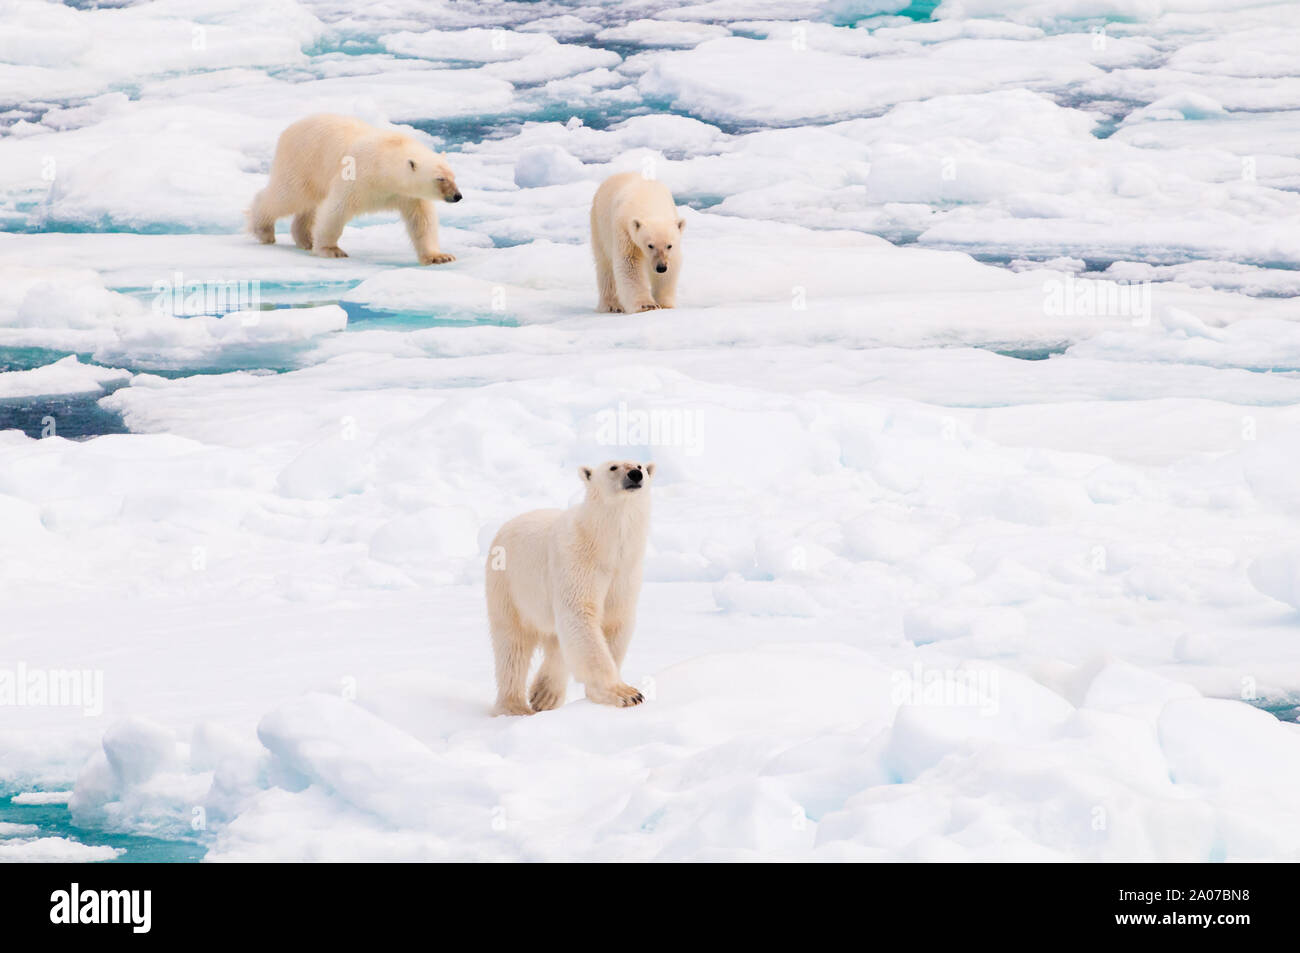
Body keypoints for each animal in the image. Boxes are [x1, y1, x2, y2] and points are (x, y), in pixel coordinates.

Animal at [247, 114, 462, 264]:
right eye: (440, 178)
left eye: (453, 176)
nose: (457, 196)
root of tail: (289, 129)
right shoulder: (358, 177)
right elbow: (336, 209)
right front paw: (331, 250)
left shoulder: (408, 195)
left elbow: (422, 221)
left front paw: (439, 257)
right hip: (302, 162)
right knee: (287, 196)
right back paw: (264, 230)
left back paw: (306, 239)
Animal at [485, 460, 655, 715]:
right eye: (613, 467)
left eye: (640, 465)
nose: (635, 474)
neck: (604, 544)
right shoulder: (577, 560)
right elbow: (580, 613)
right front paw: (626, 694)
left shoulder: (625, 572)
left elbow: (615, 620)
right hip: (509, 586)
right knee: (512, 644)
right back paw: (515, 706)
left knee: (556, 642)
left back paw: (545, 695)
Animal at [590, 172, 684, 313]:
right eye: (650, 245)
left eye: (669, 245)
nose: (661, 267)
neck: (647, 200)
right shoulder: (624, 231)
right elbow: (629, 263)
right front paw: (647, 305)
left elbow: (672, 266)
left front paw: (664, 304)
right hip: (599, 226)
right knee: (605, 265)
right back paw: (612, 305)